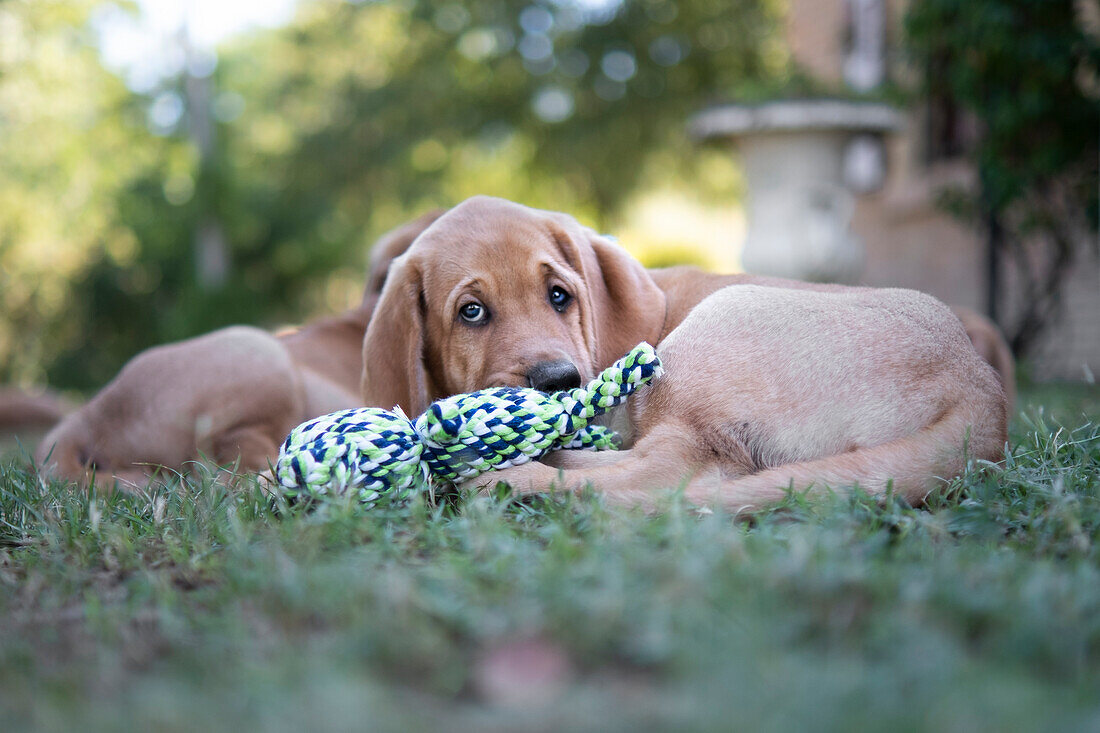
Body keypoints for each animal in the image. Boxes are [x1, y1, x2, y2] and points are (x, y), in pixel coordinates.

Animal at [360, 197, 1007, 510]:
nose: (560, 381)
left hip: (710, 338)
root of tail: (980, 391)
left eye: (559, 295)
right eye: (471, 312)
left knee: (663, 475)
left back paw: (511, 478)